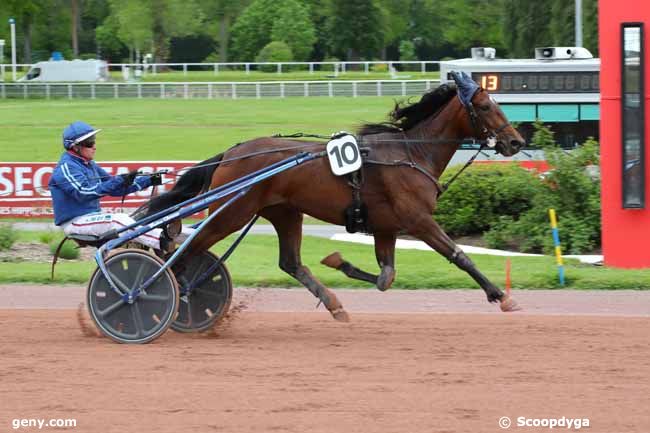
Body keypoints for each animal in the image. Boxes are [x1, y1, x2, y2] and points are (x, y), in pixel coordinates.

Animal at [135, 71, 520, 320]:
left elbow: (386, 277)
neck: (411, 153)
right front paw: (500, 296)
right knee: (184, 251)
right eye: (487, 107)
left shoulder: (385, 227)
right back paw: (165, 294)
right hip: (232, 213)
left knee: (289, 263)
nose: (515, 141)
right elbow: (459, 255)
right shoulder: (418, 221)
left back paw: (333, 303)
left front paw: (338, 261)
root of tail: (231, 153)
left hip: (285, 212)